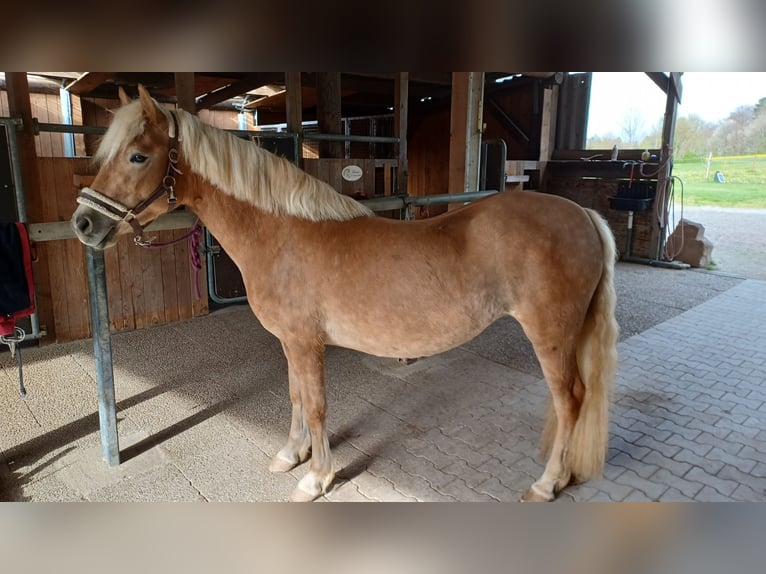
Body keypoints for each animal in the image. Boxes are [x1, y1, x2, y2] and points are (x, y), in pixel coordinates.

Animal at [72, 86, 620, 504]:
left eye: (138, 155)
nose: (83, 223)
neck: (283, 233)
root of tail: (584, 215)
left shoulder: (306, 343)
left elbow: (316, 406)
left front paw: (316, 478)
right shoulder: (290, 343)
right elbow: (295, 396)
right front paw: (290, 456)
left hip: (550, 335)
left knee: (570, 400)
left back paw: (547, 483)